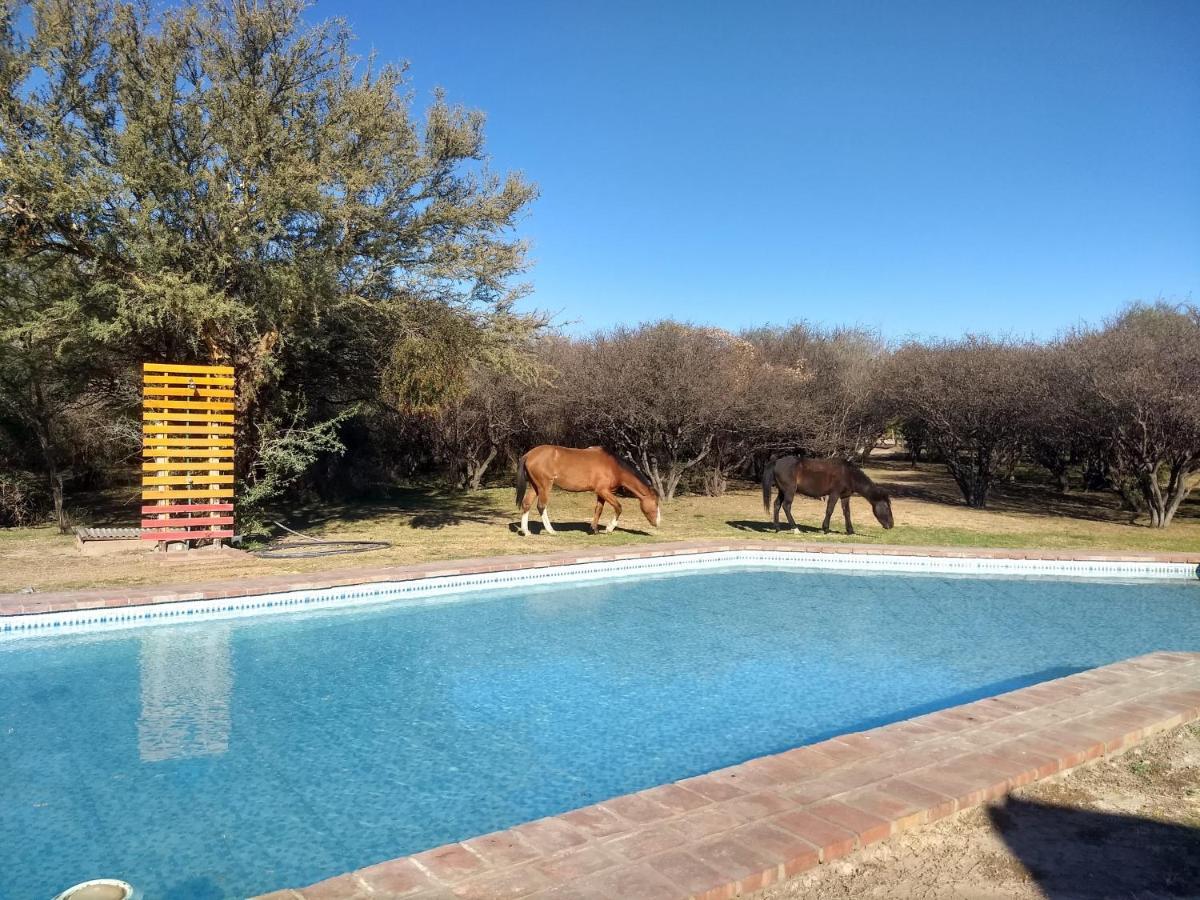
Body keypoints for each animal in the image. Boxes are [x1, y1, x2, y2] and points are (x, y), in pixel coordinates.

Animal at [516, 444, 667, 535]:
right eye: (656, 503)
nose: (658, 523)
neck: (613, 466)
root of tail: (529, 454)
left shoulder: (602, 493)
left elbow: (598, 510)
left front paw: (594, 530)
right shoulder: (603, 491)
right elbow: (618, 507)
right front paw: (609, 528)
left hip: (535, 486)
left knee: (527, 504)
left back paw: (526, 532)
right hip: (544, 486)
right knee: (541, 506)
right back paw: (551, 530)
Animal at [758, 458, 892, 535]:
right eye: (886, 507)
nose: (891, 525)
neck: (848, 474)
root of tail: (776, 462)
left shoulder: (845, 496)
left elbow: (847, 512)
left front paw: (850, 531)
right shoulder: (834, 494)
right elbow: (829, 510)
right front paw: (826, 528)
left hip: (782, 491)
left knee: (777, 505)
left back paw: (777, 528)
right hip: (789, 491)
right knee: (786, 506)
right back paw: (795, 529)